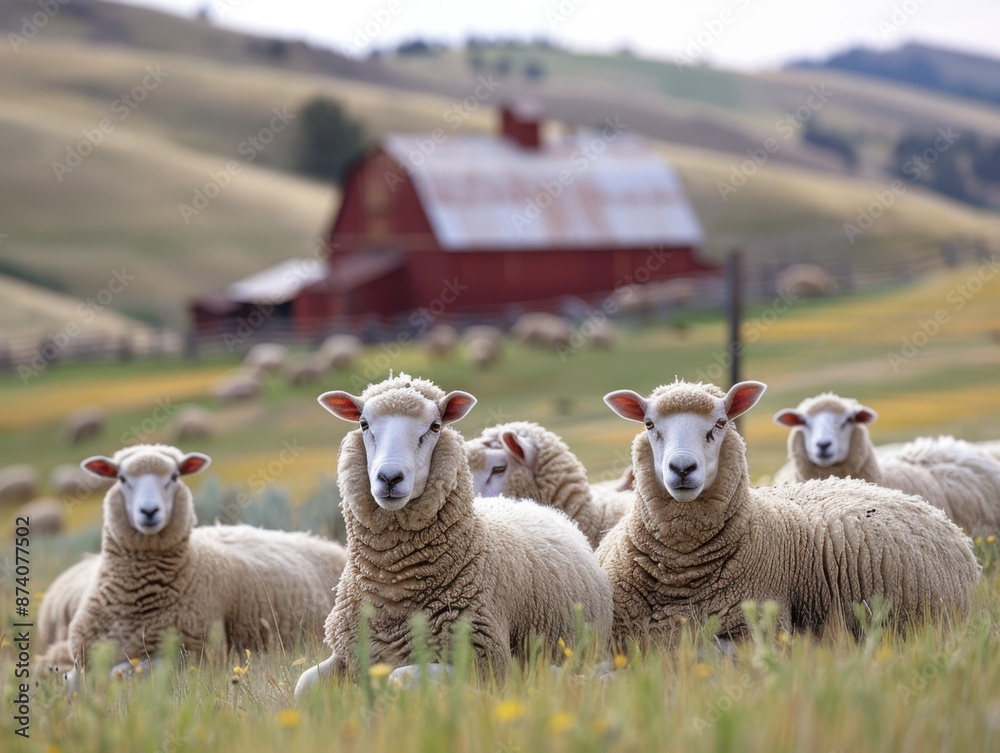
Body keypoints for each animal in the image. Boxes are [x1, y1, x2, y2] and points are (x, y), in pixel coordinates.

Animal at [67, 444, 347, 674]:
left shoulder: (194, 655)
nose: (149, 511)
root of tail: (327, 543)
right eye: (122, 478)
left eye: (174, 477)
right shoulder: (86, 657)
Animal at [295, 374, 612, 695]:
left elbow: (401, 677)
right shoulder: (349, 652)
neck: (392, 588)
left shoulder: (480, 658)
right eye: (363, 424)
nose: (389, 478)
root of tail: (529, 504)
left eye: (435, 426)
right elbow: (303, 684)